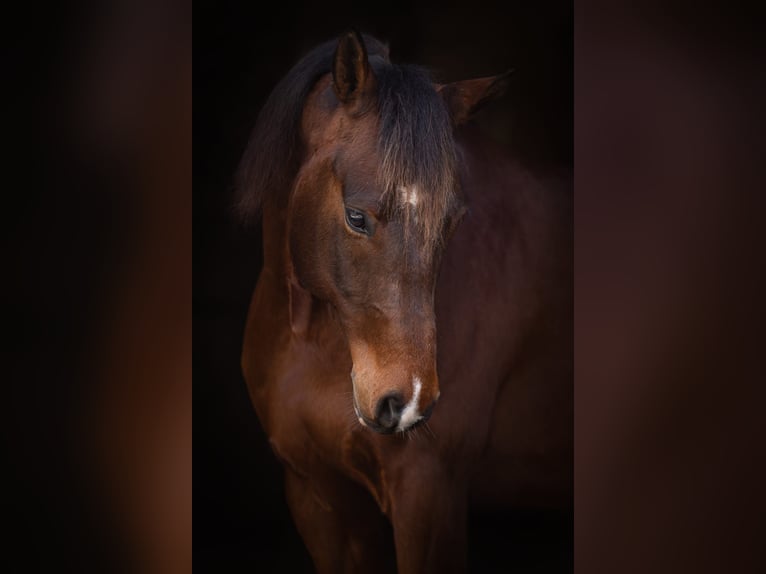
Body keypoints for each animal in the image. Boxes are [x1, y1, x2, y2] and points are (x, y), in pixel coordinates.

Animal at [238, 30, 572, 573]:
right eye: (356, 216)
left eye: (453, 223)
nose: (408, 403)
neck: (315, 344)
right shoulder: (317, 497)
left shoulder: (428, 494)